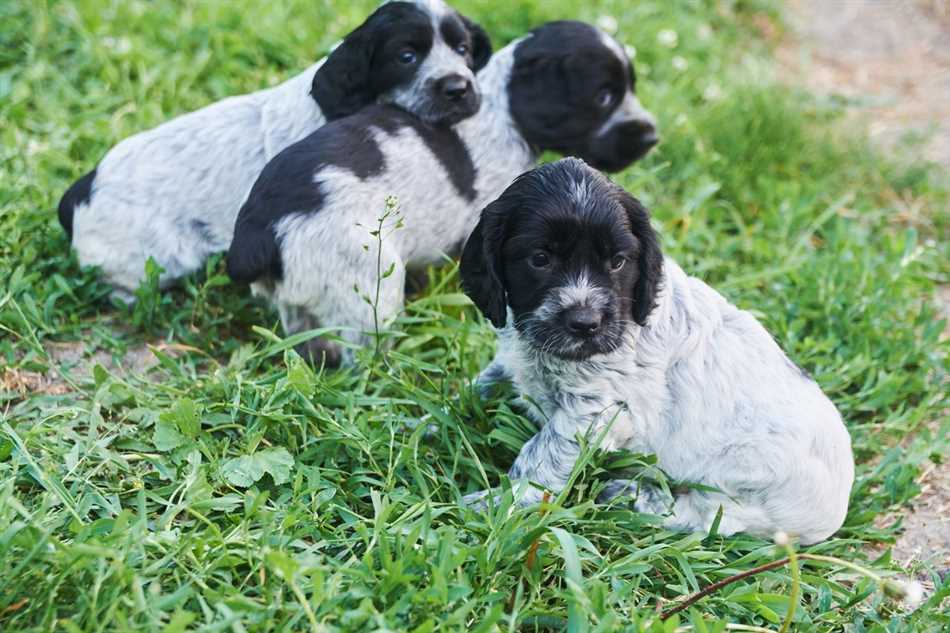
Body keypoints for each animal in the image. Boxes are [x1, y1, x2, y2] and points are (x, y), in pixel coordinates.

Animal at [227, 21, 660, 366]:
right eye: (604, 97)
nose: (653, 135)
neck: (501, 107)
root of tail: (260, 228)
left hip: (297, 302)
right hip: (367, 292)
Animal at [462, 157, 856, 544]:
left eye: (618, 261)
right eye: (540, 259)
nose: (586, 323)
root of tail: (837, 508)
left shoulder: (594, 411)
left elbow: (540, 457)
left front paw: (495, 506)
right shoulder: (513, 362)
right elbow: (478, 386)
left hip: (740, 481)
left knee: (710, 518)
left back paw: (628, 496)